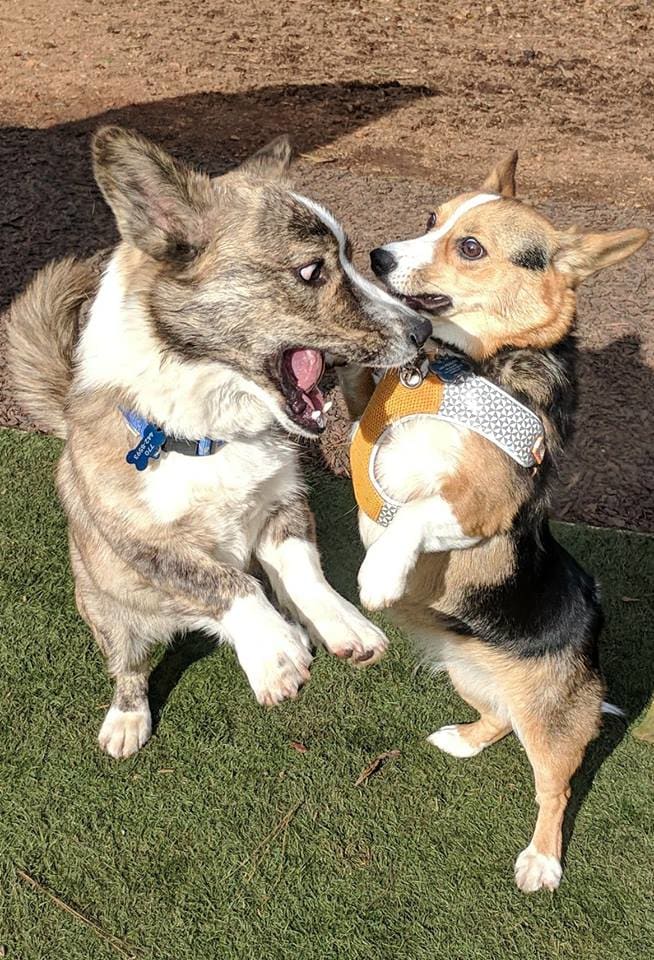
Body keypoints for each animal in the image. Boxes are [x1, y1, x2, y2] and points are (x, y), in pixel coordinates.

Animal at [9, 125, 436, 756]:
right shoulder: (150, 545)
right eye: (311, 272)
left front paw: (340, 623)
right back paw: (127, 720)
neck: (210, 433)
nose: (424, 330)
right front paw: (275, 655)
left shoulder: (283, 504)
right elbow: (226, 582)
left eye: (351, 256)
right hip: (109, 612)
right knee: (129, 668)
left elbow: (303, 569)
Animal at [348, 152, 652, 892]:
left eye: (470, 248)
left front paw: (381, 573)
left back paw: (542, 859)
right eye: (430, 217)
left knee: (554, 786)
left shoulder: (483, 501)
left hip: (549, 726)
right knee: (495, 720)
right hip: (467, 672)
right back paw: (462, 737)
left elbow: (416, 509)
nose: (378, 256)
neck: (453, 367)